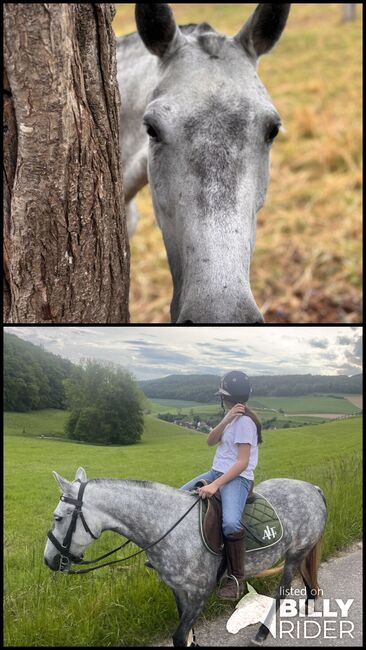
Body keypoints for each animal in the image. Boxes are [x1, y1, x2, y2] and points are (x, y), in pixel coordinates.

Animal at [44, 468, 328, 644]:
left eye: (58, 518)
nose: (49, 560)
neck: (167, 526)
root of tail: (312, 489)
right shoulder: (179, 591)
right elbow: (188, 633)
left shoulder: (199, 594)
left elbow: (180, 636)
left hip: (295, 553)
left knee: (283, 590)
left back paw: (262, 632)